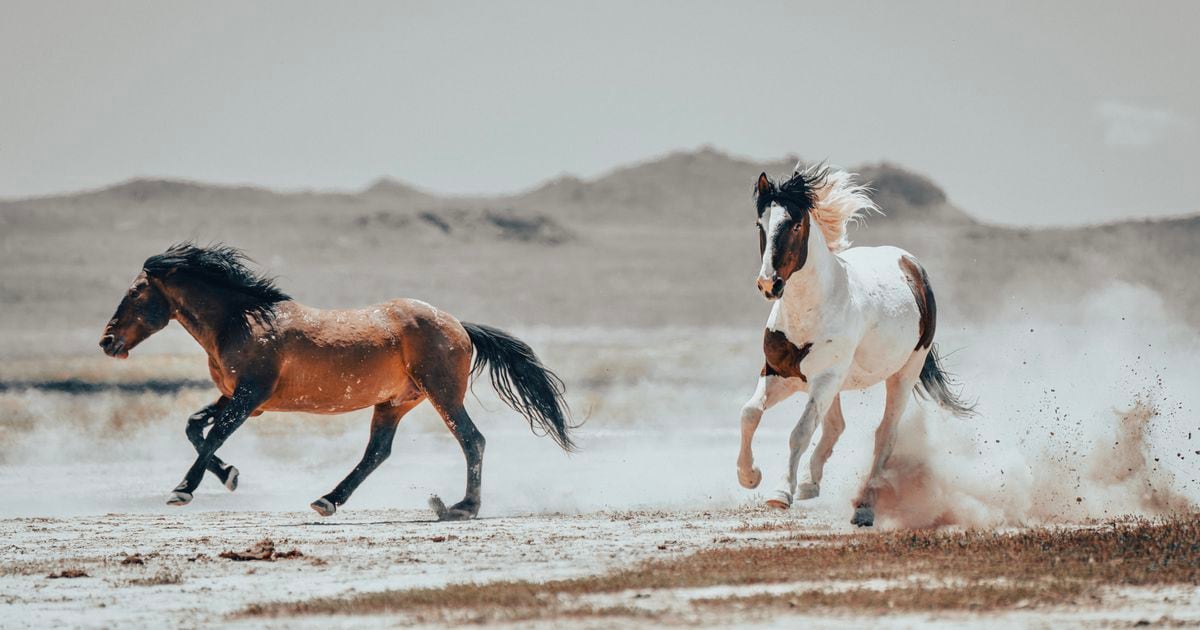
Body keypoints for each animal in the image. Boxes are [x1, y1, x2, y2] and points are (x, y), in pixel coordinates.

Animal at [98, 243, 576, 518]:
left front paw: (182, 490)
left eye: (136, 292)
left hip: (441, 394)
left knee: (471, 440)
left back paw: (462, 508)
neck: (241, 321)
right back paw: (328, 499)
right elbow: (194, 428)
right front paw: (230, 476)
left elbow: (214, 435)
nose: (107, 342)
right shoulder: (239, 397)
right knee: (378, 452)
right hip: (395, 403)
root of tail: (458, 325)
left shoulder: (250, 395)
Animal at [729, 163, 974, 525]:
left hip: (901, 374)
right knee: (835, 426)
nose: (769, 285)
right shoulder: (780, 373)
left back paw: (864, 508)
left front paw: (780, 493)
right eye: (761, 224)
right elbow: (749, 413)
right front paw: (750, 476)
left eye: (796, 223)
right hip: (834, 383)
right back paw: (810, 484)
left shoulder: (824, 377)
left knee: (885, 436)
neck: (810, 311)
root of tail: (911, 264)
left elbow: (800, 431)